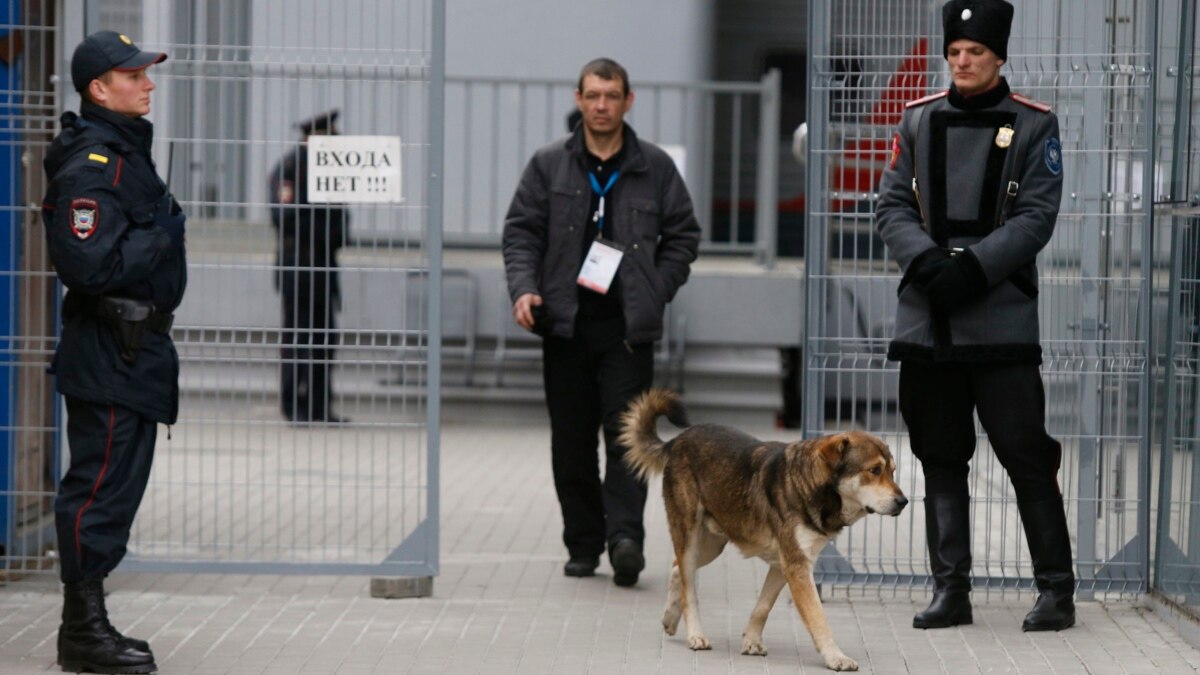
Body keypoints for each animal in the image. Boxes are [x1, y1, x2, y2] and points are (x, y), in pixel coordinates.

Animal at [624, 386, 902, 667]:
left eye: (892, 470)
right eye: (874, 470)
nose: (904, 502)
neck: (810, 484)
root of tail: (677, 440)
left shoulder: (784, 565)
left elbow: (763, 606)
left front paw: (751, 641)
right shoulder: (797, 567)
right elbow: (818, 618)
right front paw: (836, 657)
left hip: (712, 545)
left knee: (677, 568)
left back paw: (670, 619)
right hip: (691, 536)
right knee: (688, 588)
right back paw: (695, 635)